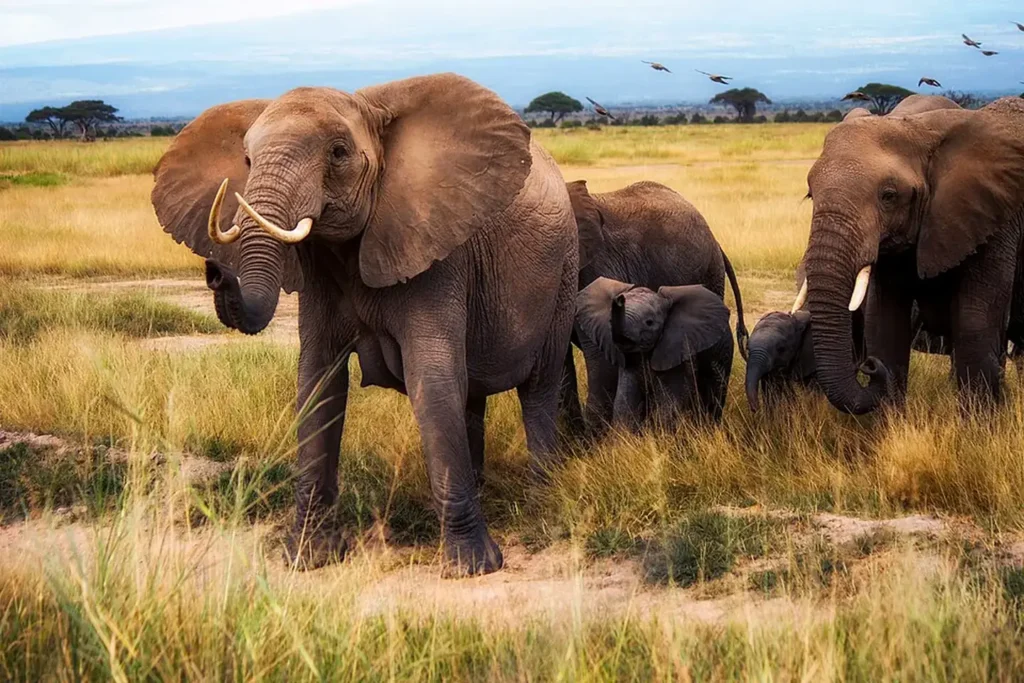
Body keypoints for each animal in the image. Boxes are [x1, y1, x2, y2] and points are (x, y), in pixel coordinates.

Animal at [150, 73, 579, 576]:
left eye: (338, 152)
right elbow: (318, 384)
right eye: (247, 160)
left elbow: (431, 381)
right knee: (471, 394)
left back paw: (540, 500)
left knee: (538, 389)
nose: (216, 270)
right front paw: (307, 558)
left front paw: (473, 567)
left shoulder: (435, 249)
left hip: (563, 273)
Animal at [575, 278, 733, 428]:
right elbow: (625, 404)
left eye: (649, 322)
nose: (619, 299)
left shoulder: (678, 353)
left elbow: (668, 405)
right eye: (609, 320)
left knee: (713, 395)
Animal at [796, 95, 1024, 414]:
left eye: (889, 196)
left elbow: (974, 326)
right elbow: (885, 326)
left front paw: (978, 426)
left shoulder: (995, 219)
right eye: (811, 194)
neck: (917, 125)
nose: (868, 365)